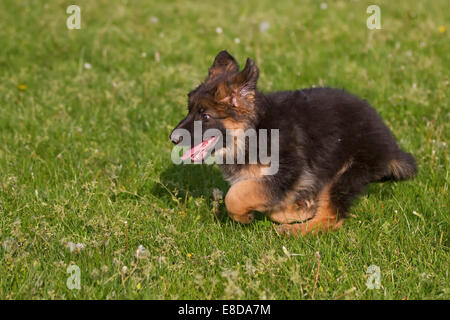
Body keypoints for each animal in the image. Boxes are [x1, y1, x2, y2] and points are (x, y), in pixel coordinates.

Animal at [171, 50, 416, 235]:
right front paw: (299, 209)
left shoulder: (287, 172)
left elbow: (236, 195)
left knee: (331, 218)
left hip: (346, 173)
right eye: (189, 110)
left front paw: (244, 216)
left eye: (205, 116)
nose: (173, 138)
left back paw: (294, 231)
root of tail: (391, 147)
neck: (254, 130)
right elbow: (270, 204)